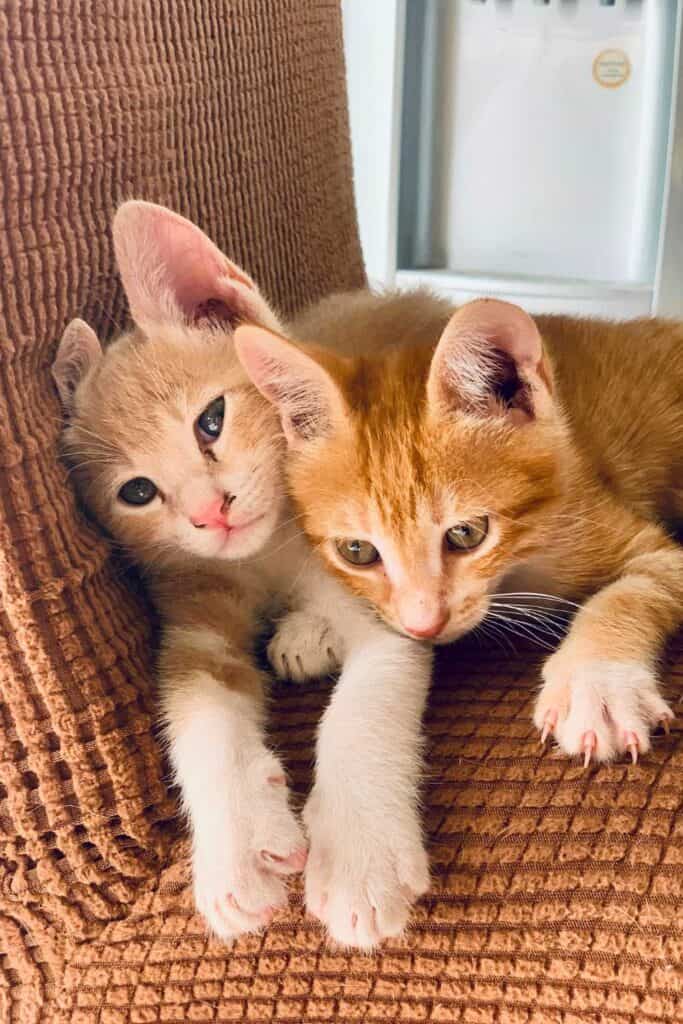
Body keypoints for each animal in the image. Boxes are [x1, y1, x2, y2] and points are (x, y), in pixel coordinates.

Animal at [56, 201, 436, 950]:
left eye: (212, 421)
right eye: (137, 492)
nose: (212, 512)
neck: (268, 555)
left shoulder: (383, 577)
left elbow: (363, 711)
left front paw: (359, 860)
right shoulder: (194, 609)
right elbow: (197, 711)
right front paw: (235, 854)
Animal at [236, 292, 683, 765]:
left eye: (467, 534)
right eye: (357, 551)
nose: (424, 626)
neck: (514, 572)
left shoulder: (635, 540)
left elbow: (626, 595)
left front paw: (597, 684)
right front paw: (313, 624)